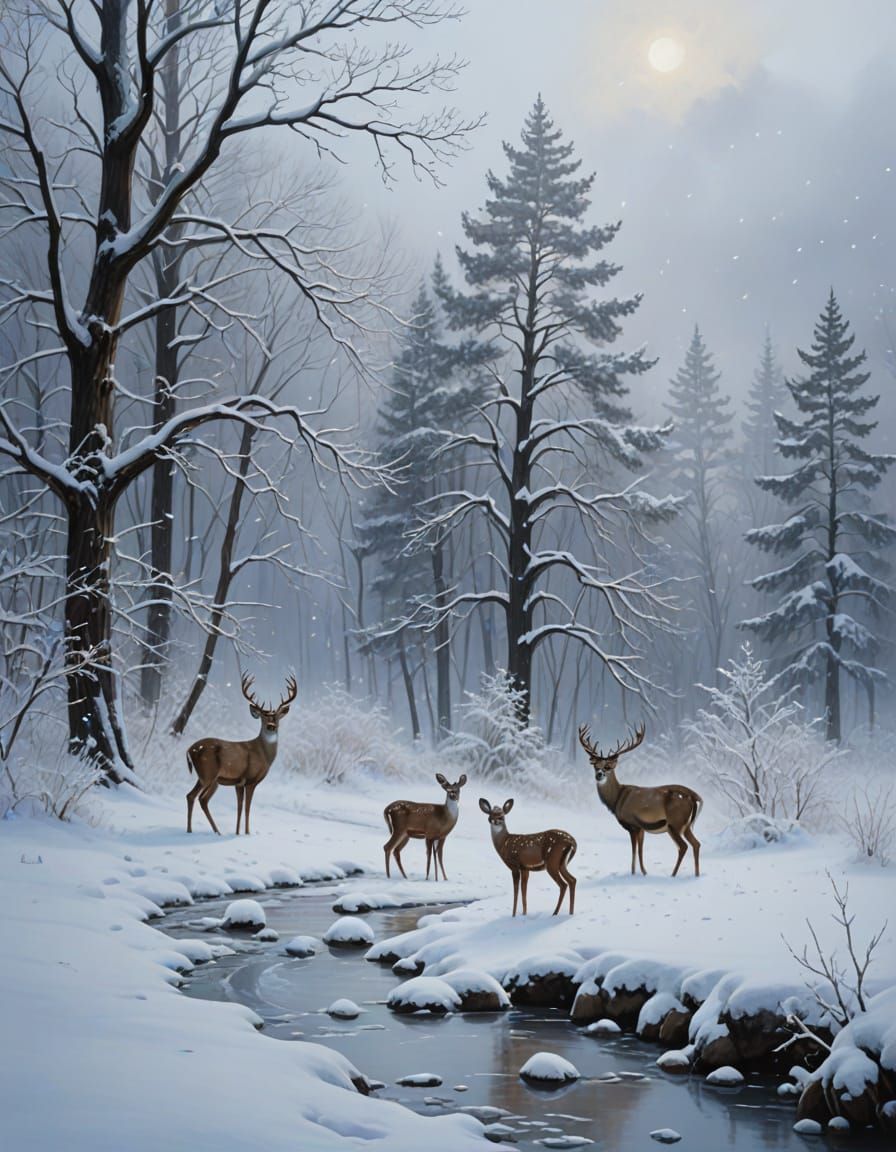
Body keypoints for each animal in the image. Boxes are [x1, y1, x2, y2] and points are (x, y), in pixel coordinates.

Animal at [185, 673, 297, 836]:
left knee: (194, 797)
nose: (271, 726)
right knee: (199, 797)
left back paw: (201, 831)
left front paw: (238, 832)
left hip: (207, 778)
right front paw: (247, 833)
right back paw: (202, 831)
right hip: (208, 774)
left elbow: (239, 807)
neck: (264, 755)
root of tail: (189, 750)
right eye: (263, 718)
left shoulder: (238, 782)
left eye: (276, 717)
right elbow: (247, 808)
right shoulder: (250, 780)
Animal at [578, 723, 702, 877]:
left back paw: (673, 875)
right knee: (696, 844)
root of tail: (694, 798)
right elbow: (641, 850)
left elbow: (634, 851)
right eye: (596, 766)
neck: (618, 799)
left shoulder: (632, 824)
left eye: (608, 767)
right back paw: (696, 874)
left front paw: (633, 873)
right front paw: (644, 872)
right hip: (686, 826)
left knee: (683, 846)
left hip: (675, 823)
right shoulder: (642, 827)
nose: (599, 775)